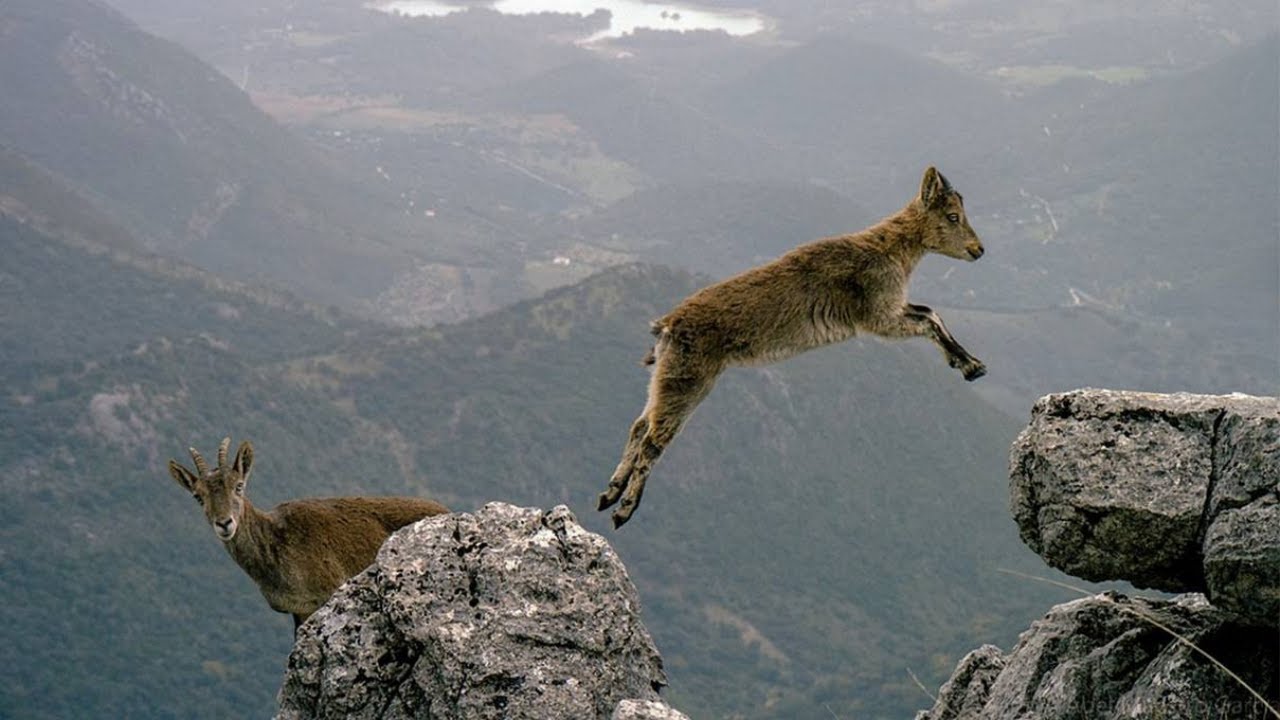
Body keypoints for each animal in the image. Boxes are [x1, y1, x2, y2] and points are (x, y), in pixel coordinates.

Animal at [167, 437, 449, 632]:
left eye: (238, 486)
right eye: (198, 496)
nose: (224, 523)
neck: (276, 542)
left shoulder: (328, 592)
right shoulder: (299, 609)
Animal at [598, 167, 987, 528]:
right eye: (953, 216)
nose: (978, 250)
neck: (891, 249)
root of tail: (667, 326)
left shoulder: (893, 309)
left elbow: (931, 313)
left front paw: (972, 365)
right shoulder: (879, 317)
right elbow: (927, 320)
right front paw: (969, 365)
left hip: (665, 378)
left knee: (639, 425)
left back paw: (609, 492)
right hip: (689, 381)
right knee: (652, 439)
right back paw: (623, 510)